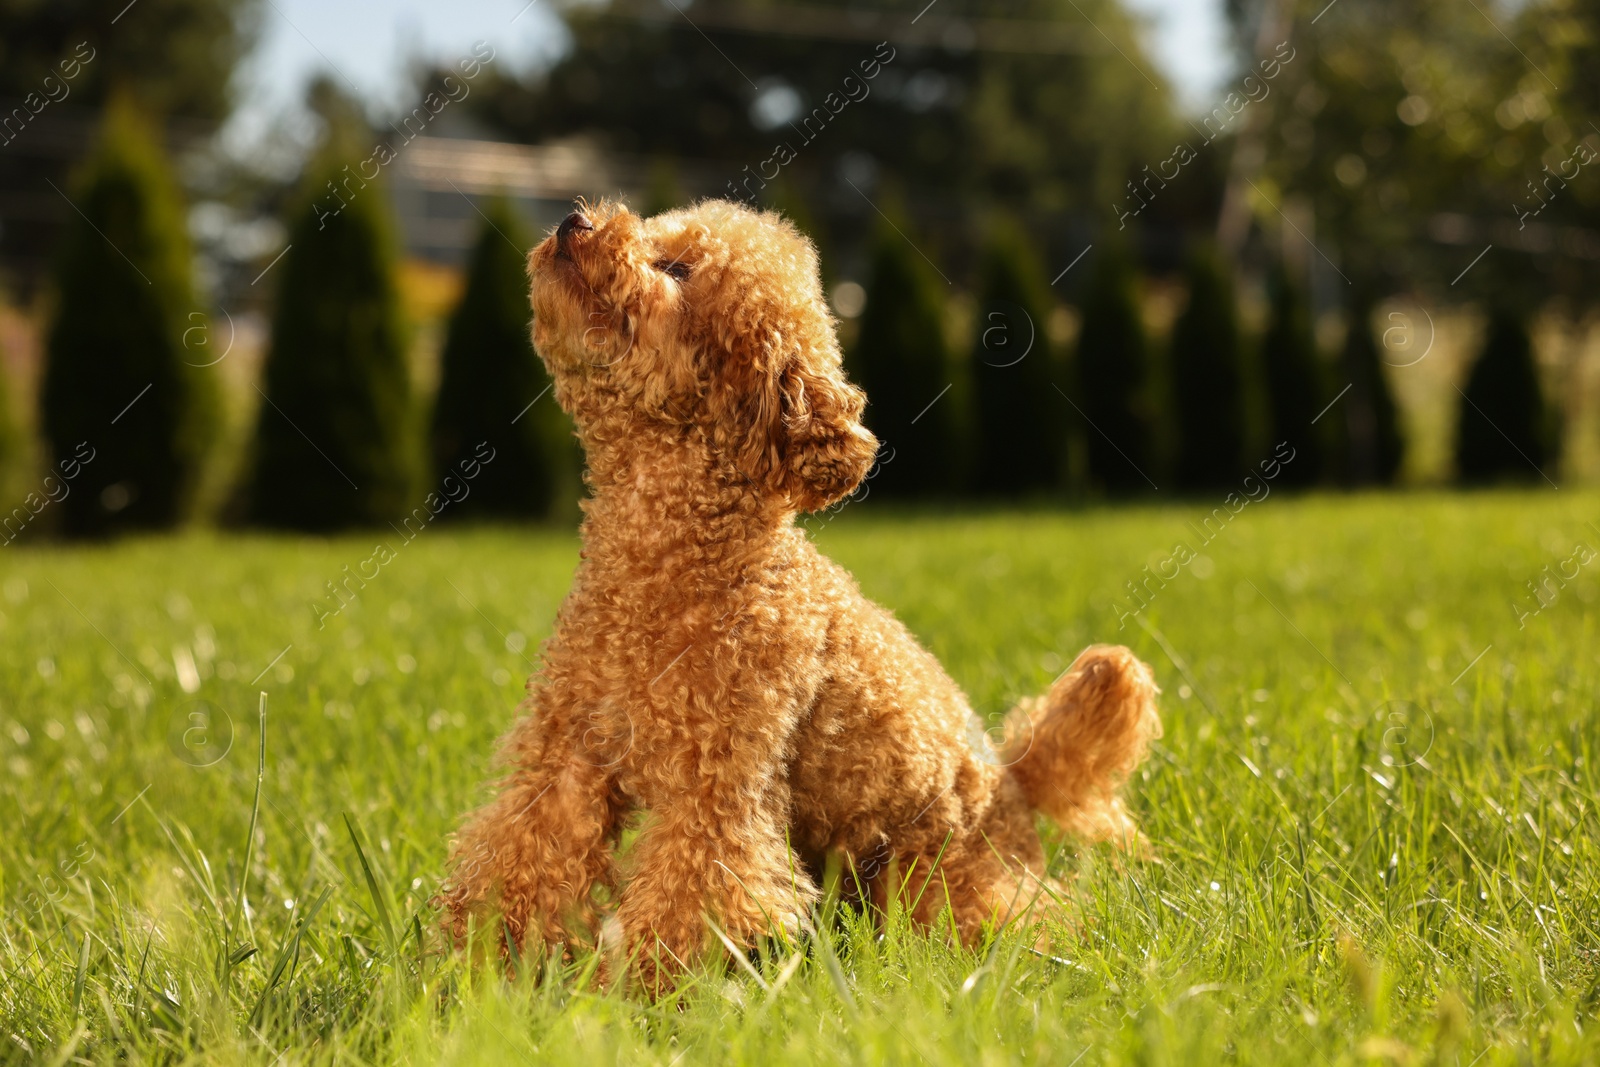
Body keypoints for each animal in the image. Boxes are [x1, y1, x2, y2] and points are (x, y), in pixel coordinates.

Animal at [438, 198, 1164, 991]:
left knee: (1013, 919)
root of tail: (1014, 780)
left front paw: (640, 993)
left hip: (943, 878)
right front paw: (481, 972)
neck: (661, 568)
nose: (575, 220)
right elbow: (520, 854)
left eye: (676, 268)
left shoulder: (718, 786)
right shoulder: (568, 755)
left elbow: (690, 896)